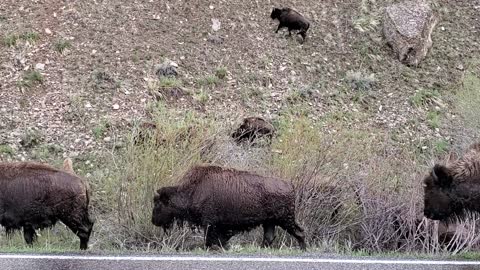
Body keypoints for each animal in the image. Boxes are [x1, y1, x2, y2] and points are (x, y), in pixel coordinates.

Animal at [152, 166, 306, 250]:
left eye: (158, 204)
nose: (153, 221)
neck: (193, 190)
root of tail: (290, 185)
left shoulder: (210, 223)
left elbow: (210, 239)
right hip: (270, 222)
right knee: (269, 237)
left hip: (285, 220)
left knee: (299, 232)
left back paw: (303, 249)